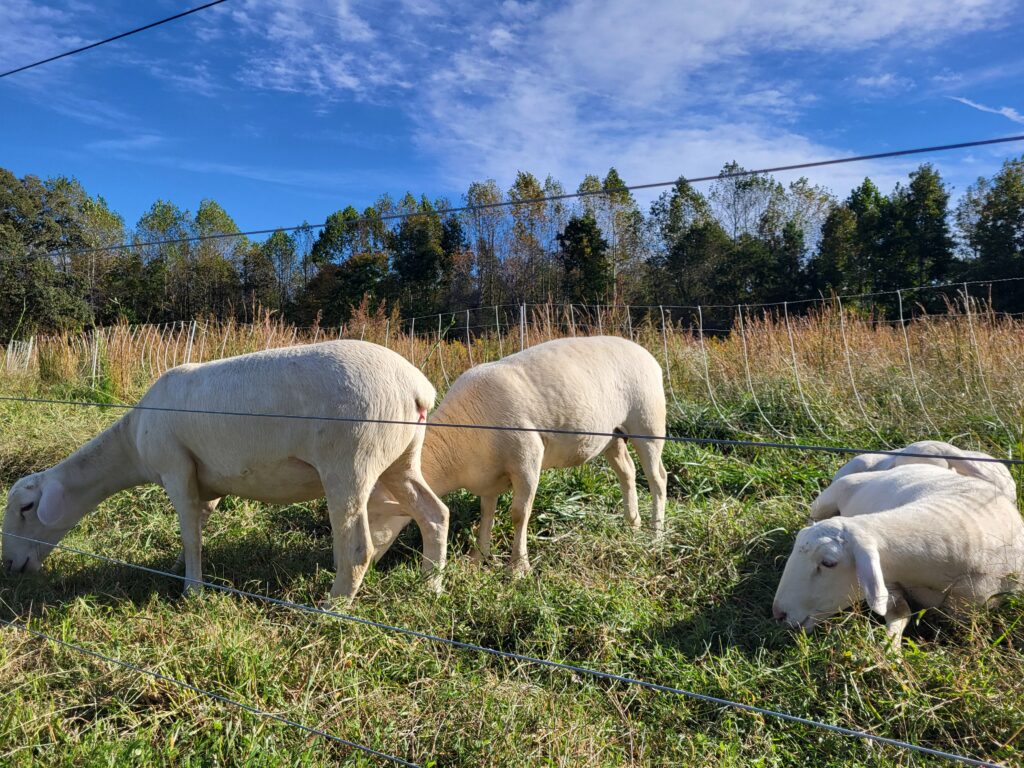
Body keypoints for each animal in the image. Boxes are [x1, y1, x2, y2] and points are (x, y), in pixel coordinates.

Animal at [2, 341, 449, 602]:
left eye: (25, 508)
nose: (10, 566)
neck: (133, 440)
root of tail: (417, 387)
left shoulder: (176, 468)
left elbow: (189, 532)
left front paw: (193, 592)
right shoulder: (208, 480)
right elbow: (198, 527)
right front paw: (185, 572)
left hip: (351, 459)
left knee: (357, 548)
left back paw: (331, 607)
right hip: (402, 456)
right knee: (435, 513)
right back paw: (431, 585)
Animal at [367, 336, 668, 574]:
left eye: (371, 516)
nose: (367, 567)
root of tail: (643, 351)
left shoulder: (527, 459)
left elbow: (519, 514)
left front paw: (518, 567)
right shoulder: (487, 476)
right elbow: (486, 512)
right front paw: (479, 557)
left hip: (648, 422)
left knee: (658, 478)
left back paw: (656, 534)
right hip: (612, 435)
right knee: (627, 472)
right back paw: (633, 525)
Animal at [773, 467, 1024, 643]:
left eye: (828, 563)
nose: (779, 614)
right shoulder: (889, 578)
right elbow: (900, 611)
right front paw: (890, 647)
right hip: (826, 500)